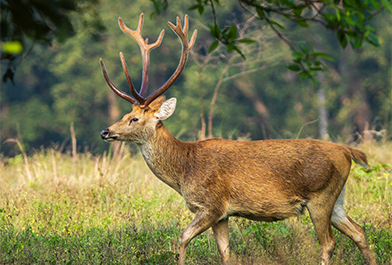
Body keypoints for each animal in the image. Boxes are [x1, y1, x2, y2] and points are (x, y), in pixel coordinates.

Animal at [99, 13, 376, 264]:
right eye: (126, 114)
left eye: (134, 119)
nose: (105, 131)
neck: (184, 169)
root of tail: (347, 151)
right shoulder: (223, 215)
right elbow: (225, 252)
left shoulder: (212, 205)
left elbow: (183, 237)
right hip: (337, 198)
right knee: (359, 232)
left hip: (320, 196)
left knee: (328, 243)